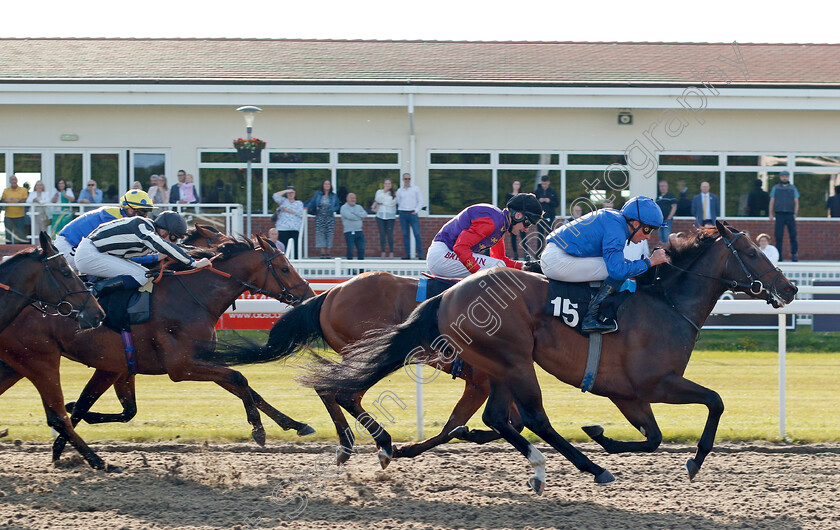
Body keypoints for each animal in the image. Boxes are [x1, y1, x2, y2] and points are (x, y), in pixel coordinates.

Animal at [0, 233, 316, 468]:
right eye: (285, 268)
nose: (308, 295)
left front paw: (296, 424)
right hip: (39, 360)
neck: (194, 297)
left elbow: (247, 388)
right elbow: (240, 379)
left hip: (16, 365)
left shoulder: (138, 365)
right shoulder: (180, 366)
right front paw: (259, 431)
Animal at [300, 222, 796, 490]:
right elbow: (715, 401)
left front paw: (602, 434)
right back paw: (589, 469)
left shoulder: (629, 394)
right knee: (532, 418)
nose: (790, 288)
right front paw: (692, 461)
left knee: (498, 418)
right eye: (752, 252)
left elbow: (654, 437)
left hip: (499, 365)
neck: (665, 303)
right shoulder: (657, 384)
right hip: (514, 361)